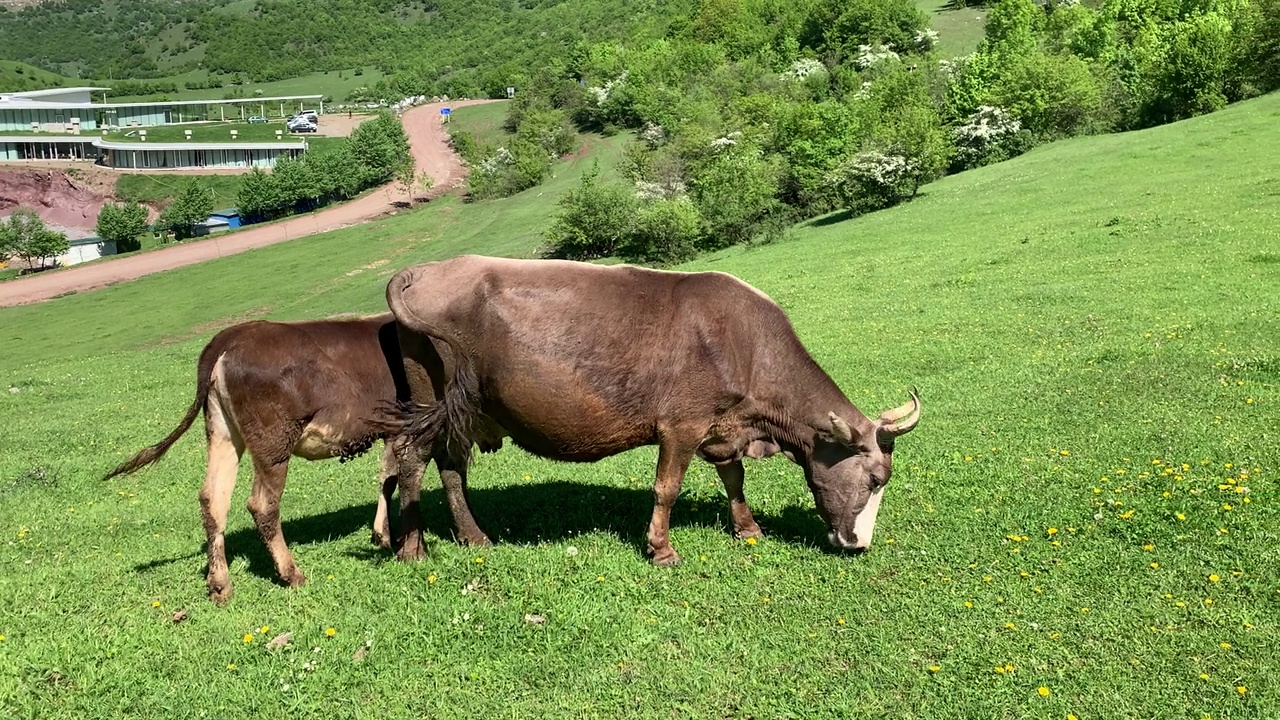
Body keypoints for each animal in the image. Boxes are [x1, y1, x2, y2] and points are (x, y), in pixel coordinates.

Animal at [103, 312, 419, 599]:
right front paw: (391, 538)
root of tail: (232, 335)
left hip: (222, 430)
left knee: (213, 498)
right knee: (262, 505)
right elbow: (392, 477)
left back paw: (220, 585)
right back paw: (292, 574)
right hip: (274, 442)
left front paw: (382, 535)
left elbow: (386, 477)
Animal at [373, 254, 926, 563]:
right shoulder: (681, 423)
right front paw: (661, 549)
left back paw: (474, 538)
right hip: (431, 400)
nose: (859, 544)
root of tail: (425, 269)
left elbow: (734, 477)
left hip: (457, 411)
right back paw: (412, 548)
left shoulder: (723, 425)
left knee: (449, 466)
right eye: (875, 479)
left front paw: (747, 528)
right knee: (410, 459)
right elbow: (667, 488)